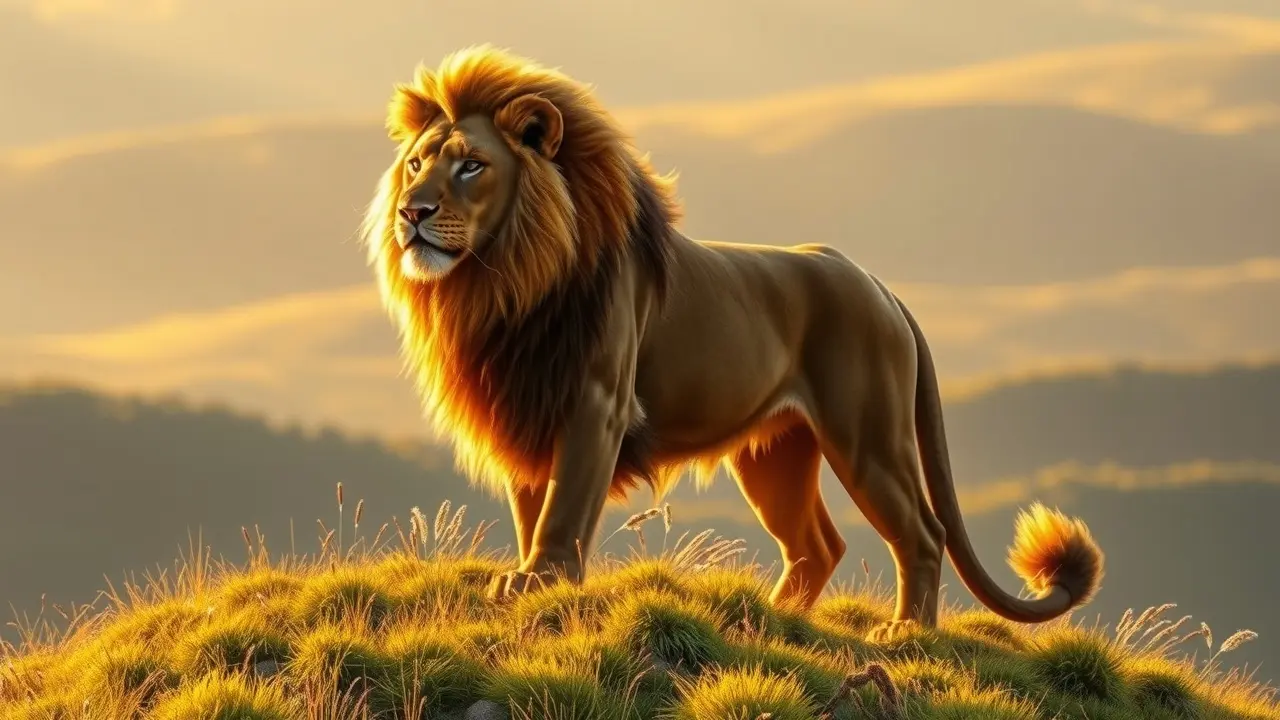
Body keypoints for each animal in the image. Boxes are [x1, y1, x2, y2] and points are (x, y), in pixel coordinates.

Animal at [360, 45, 1104, 640]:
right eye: (416, 163)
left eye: (472, 167)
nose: (411, 212)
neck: (502, 284)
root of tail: (877, 283)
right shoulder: (522, 404)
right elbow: (530, 507)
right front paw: (524, 578)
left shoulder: (594, 403)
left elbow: (562, 509)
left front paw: (540, 582)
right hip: (776, 453)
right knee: (817, 546)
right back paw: (769, 619)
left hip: (868, 436)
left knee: (923, 533)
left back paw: (904, 633)